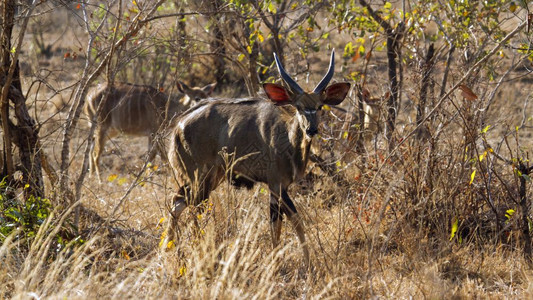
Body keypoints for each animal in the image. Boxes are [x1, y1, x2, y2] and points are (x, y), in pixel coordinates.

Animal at [164, 49, 352, 268]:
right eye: (298, 106)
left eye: (320, 106)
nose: (311, 129)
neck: (287, 137)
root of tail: (178, 127)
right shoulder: (277, 185)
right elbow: (292, 221)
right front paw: (302, 264)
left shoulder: (277, 188)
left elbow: (278, 223)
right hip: (200, 179)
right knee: (187, 204)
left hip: (211, 179)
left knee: (179, 201)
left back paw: (168, 248)